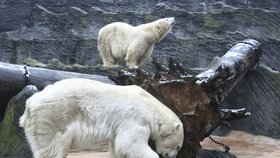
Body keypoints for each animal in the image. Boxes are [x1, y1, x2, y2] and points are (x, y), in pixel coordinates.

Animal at [20, 78, 185, 157]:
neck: (149, 105)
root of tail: (30, 104)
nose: (171, 157)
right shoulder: (135, 119)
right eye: (177, 146)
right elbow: (130, 144)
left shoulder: (119, 127)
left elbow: (118, 148)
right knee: (53, 148)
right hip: (53, 117)